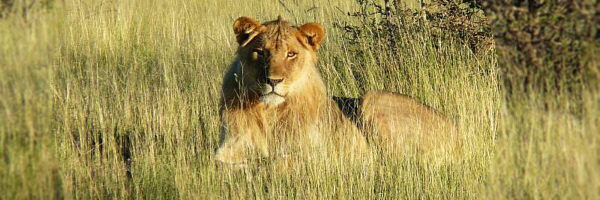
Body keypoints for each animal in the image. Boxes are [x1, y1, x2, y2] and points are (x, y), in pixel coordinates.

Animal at [213, 15, 458, 166]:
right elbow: (220, 163)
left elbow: (282, 161)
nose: (273, 81)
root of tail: (456, 129)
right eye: (261, 52)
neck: (269, 111)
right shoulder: (229, 146)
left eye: (291, 54)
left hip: (373, 99)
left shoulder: (319, 156)